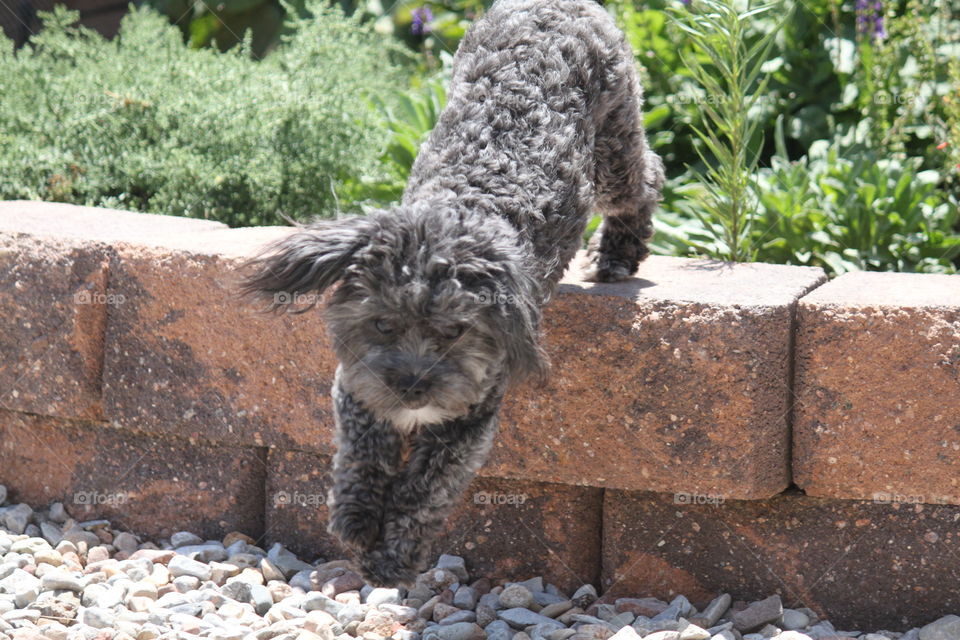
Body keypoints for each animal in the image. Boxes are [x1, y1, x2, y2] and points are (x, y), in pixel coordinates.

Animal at [244, 0, 664, 592]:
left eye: (454, 330)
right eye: (382, 323)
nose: (411, 386)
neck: (461, 209)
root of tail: (556, 6)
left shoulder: (470, 415)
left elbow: (424, 490)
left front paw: (391, 558)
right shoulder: (357, 381)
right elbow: (361, 452)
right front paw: (356, 519)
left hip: (614, 141)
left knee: (646, 178)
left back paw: (617, 256)